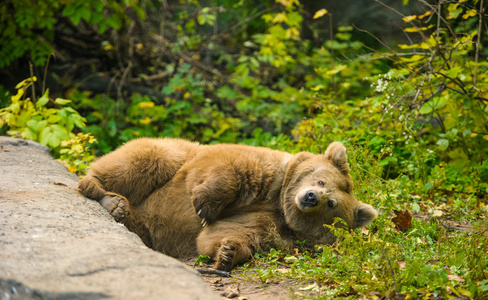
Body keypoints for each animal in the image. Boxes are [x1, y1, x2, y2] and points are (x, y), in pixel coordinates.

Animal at [79, 138, 378, 272]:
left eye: (331, 203)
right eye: (320, 180)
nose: (310, 197)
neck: (281, 204)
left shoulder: (272, 225)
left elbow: (225, 233)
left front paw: (227, 253)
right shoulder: (262, 173)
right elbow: (226, 168)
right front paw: (204, 207)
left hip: (151, 230)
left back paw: (120, 210)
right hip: (168, 155)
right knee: (145, 159)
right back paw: (101, 192)